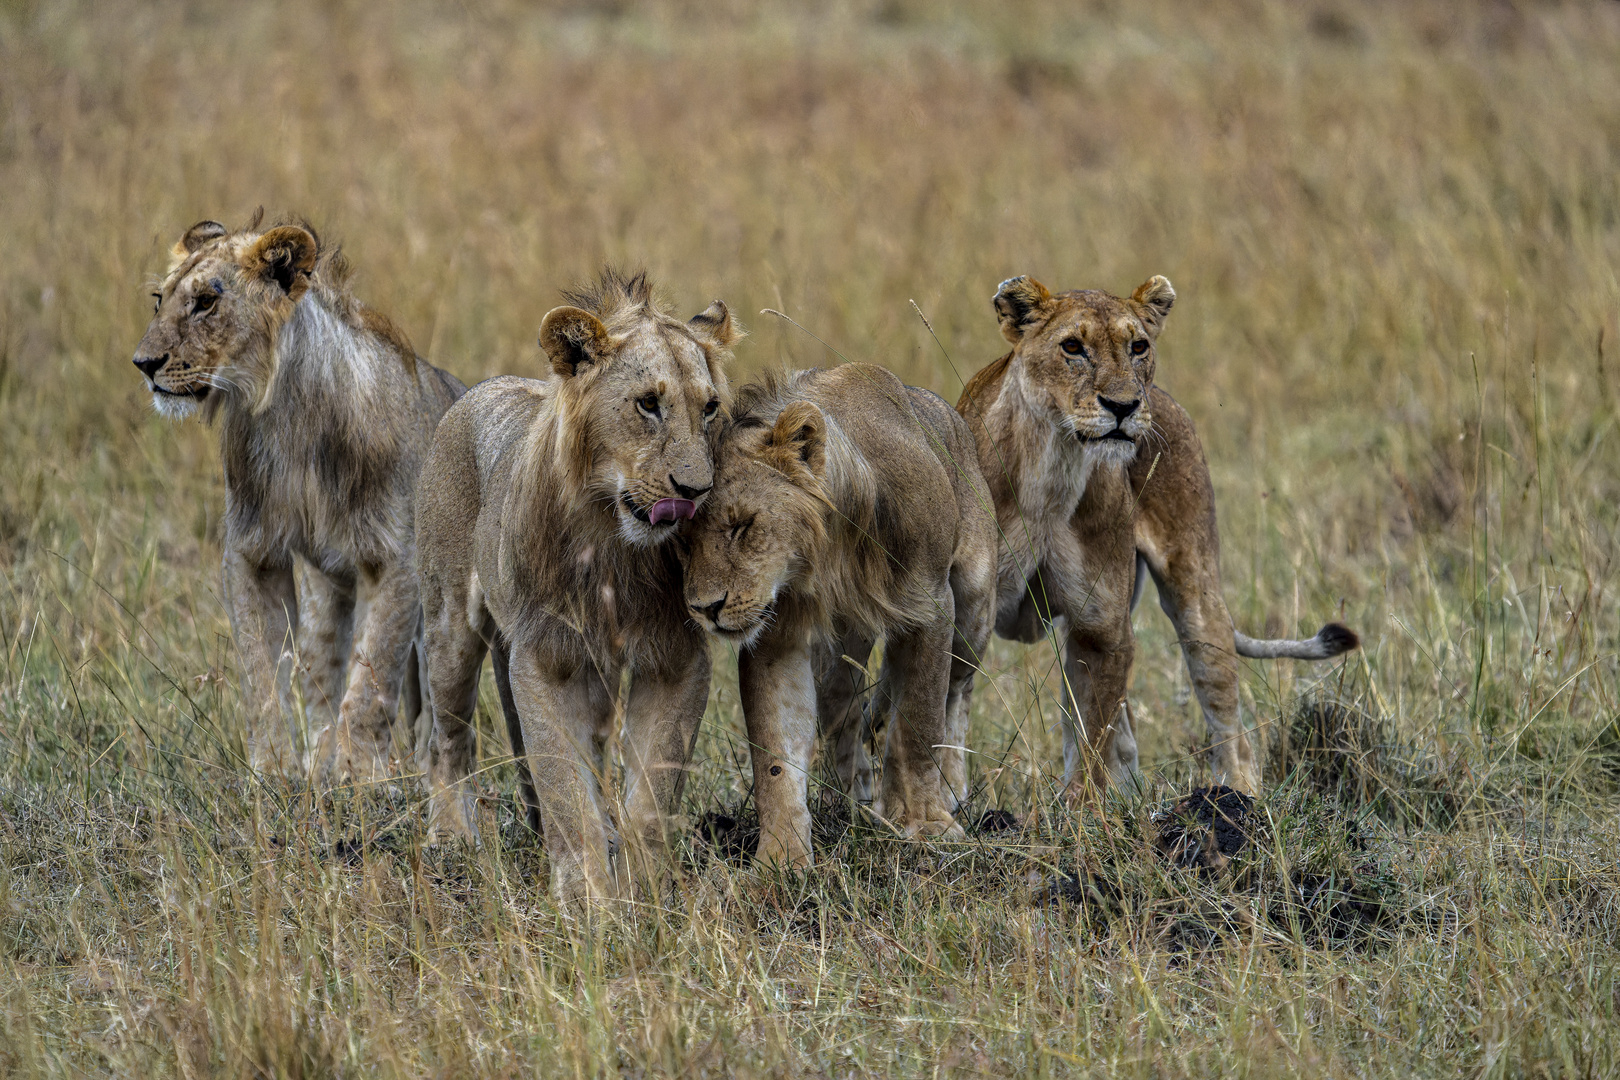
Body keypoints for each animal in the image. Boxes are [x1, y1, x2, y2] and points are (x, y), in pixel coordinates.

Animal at [132, 210, 466, 780]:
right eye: (161, 299)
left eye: (206, 302)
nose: (144, 363)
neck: (292, 420)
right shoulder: (252, 551)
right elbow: (261, 673)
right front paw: (275, 771)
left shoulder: (397, 557)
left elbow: (373, 680)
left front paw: (363, 777)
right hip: (326, 589)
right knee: (321, 671)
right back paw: (319, 762)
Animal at [417, 270, 741, 906]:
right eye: (648, 404)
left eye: (711, 408)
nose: (695, 492)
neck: (614, 544)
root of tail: (477, 391)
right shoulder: (544, 656)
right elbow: (565, 787)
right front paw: (587, 900)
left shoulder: (676, 657)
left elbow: (652, 789)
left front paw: (643, 894)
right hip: (450, 625)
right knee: (449, 733)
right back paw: (449, 837)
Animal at [680, 362, 991, 867]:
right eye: (683, 542)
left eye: (742, 525)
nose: (705, 608)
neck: (828, 555)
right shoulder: (775, 632)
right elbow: (776, 750)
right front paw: (781, 856)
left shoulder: (931, 605)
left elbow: (919, 722)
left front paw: (927, 824)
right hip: (847, 641)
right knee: (841, 707)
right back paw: (857, 800)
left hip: (975, 609)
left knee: (958, 691)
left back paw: (952, 790)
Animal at [952, 275, 1360, 803]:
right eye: (1072, 347)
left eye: (1138, 346)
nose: (1124, 406)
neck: (1050, 470)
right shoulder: (962, 616)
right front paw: (943, 803)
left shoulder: (1102, 627)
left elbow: (1092, 739)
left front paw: (1082, 813)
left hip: (1196, 593)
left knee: (1225, 719)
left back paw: (1236, 800)